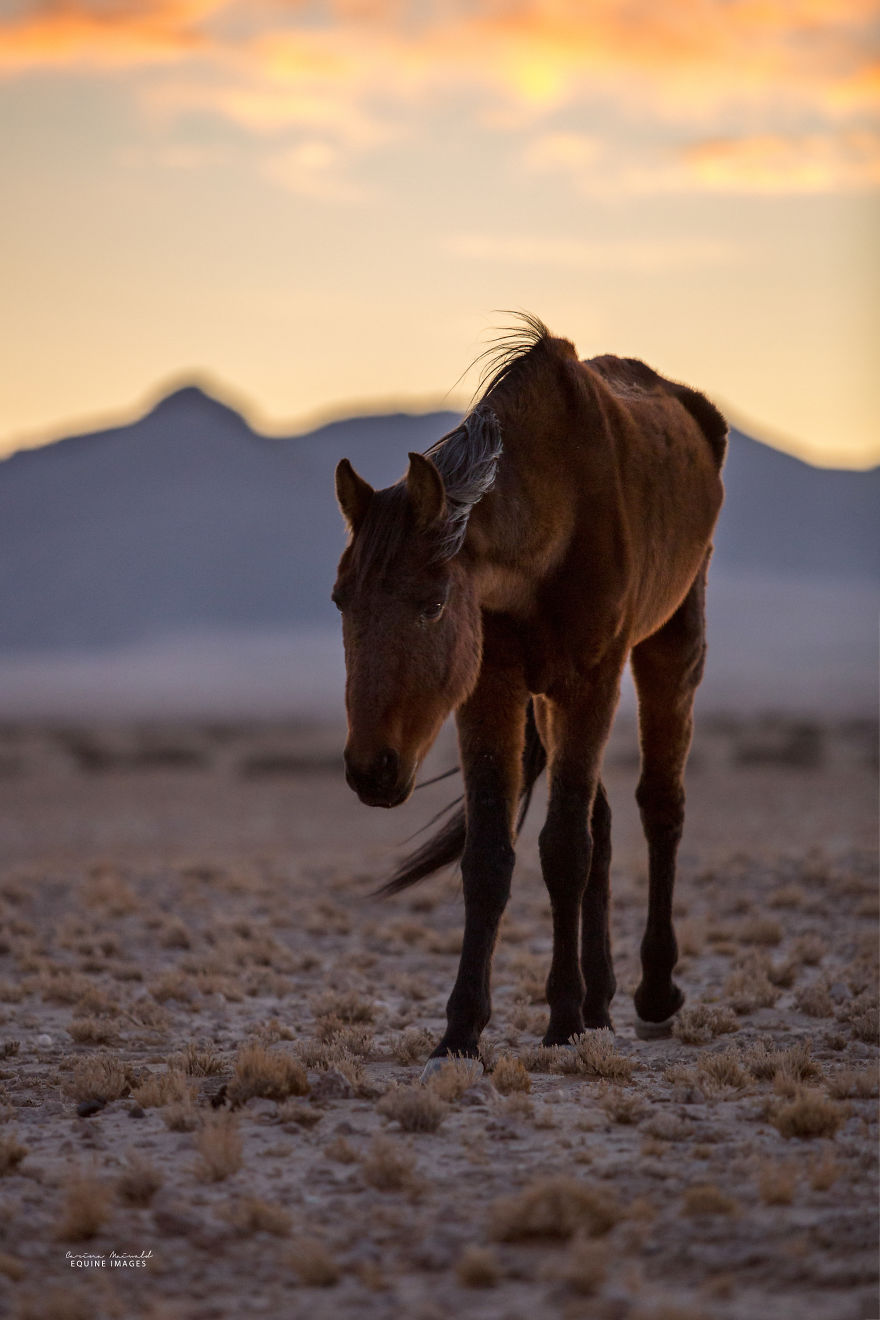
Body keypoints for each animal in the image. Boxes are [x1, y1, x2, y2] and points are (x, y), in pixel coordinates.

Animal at [332, 314, 726, 1076]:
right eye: (340, 600)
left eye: (431, 605)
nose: (371, 769)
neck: (558, 513)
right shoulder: (493, 686)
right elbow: (492, 856)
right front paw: (462, 1030)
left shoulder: (591, 681)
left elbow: (563, 849)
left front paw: (563, 1020)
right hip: (549, 700)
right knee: (606, 822)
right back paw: (603, 998)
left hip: (670, 644)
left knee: (660, 807)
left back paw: (653, 992)